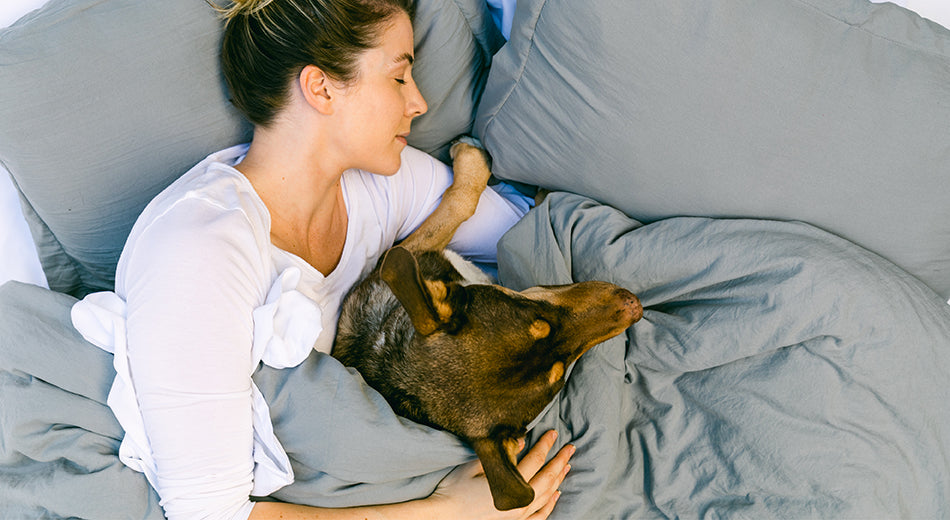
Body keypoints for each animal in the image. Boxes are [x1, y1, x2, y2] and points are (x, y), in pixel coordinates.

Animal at [330, 141, 644, 508]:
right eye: (561, 379)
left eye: (531, 308)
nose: (634, 306)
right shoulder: (409, 251)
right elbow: (460, 203)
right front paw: (473, 161)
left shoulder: (402, 261)